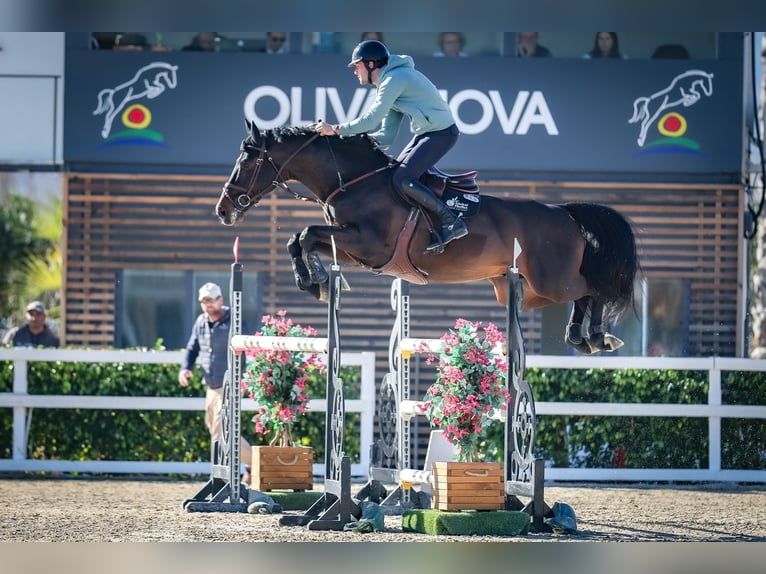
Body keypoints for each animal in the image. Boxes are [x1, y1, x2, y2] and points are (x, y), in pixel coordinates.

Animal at [213, 120, 640, 356]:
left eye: (248, 159)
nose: (223, 209)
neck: (353, 181)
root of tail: (564, 212)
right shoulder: (354, 249)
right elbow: (301, 238)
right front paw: (316, 280)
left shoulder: (369, 245)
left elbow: (304, 234)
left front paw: (312, 281)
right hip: (526, 290)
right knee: (583, 293)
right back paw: (581, 338)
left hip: (551, 280)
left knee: (593, 288)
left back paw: (597, 337)